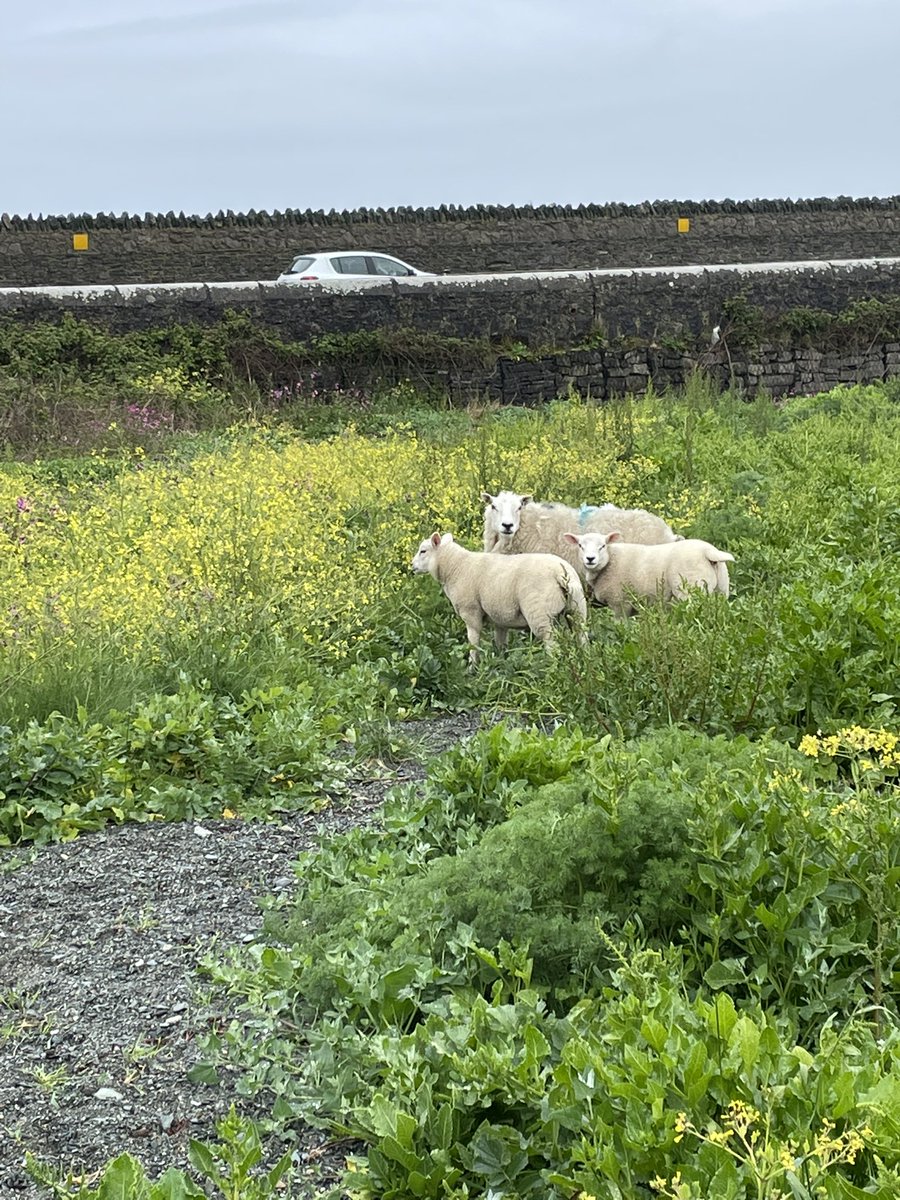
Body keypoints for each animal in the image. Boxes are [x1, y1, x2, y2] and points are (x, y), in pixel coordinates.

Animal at [412, 531, 588, 667]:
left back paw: (552, 668)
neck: (455, 566)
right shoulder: (499, 617)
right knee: (582, 635)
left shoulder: (471, 612)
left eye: (423, 551)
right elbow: (500, 644)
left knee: (551, 644)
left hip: (540, 614)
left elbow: (473, 642)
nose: (412, 566)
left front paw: (473, 668)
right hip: (577, 607)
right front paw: (501, 663)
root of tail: (561, 572)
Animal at [563, 530, 733, 617]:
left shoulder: (620, 603)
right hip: (721, 590)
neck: (610, 561)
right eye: (580, 546)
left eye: (602, 546)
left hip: (690, 589)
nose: (590, 559)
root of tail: (708, 552)